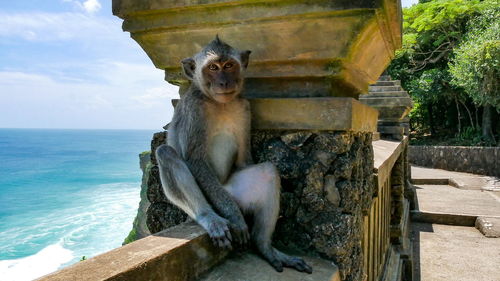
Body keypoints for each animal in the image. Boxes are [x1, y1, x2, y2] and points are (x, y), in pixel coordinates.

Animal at [156, 36, 312, 272]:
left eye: (229, 65)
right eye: (213, 67)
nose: (224, 82)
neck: (218, 103)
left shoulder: (244, 106)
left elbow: (244, 160)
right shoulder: (194, 108)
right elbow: (195, 160)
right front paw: (236, 220)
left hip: (234, 193)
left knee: (268, 171)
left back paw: (264, 246)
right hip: (214, 198)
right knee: (165, 152)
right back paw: (211, 217)